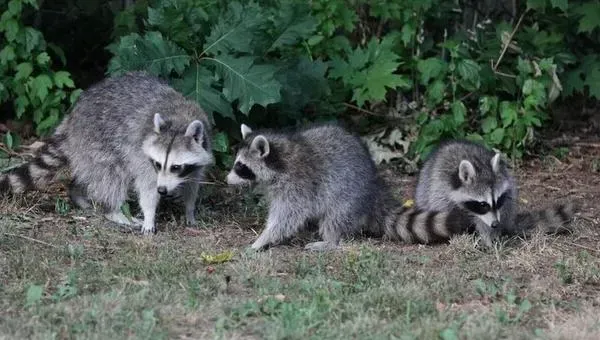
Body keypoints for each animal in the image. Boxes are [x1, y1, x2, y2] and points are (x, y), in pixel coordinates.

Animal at [0, 71, 214, 234]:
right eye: (158, 164)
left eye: (176, 167)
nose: (162, 190)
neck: (178, 120)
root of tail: (72, 118)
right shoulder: (142, 156)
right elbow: (147, 186)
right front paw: (149, 214)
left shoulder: (201, 150)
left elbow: (193, 183)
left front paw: (189, 209)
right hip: (97, 138)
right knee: (111, 176)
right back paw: (114, 211)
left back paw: (77, 193)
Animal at [224, 122, 474, 250]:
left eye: (240, 166)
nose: (227, 179)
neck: (281, 158)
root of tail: (373, 189)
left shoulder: (299, 185)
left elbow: (287, 217)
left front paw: (263, 239)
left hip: (347, 197)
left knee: (334, 218)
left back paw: (329, 241)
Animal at [414, 139, 580, 246]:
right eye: (483, 204)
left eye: (498, 200)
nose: (495, 224)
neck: (480, 167)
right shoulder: (441, 189)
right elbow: (445, 211)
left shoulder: (504, 197)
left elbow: (488, 219)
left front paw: (488, 237)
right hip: (426, 184)